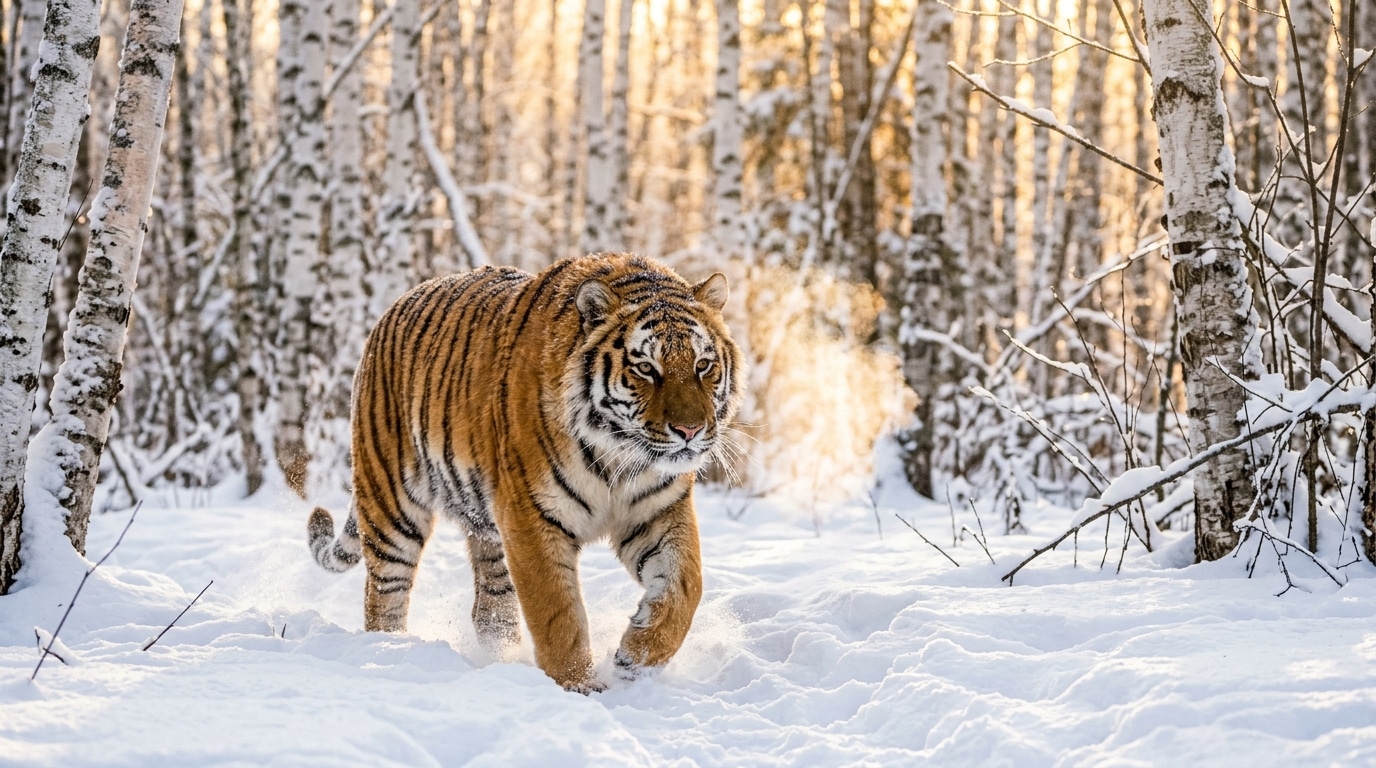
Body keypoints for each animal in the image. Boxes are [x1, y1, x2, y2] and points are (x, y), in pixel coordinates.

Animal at [307, 252, 744, 692]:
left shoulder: (659, 511)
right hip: (393, 507)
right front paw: (577, 685)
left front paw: (636, 657)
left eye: (703, 365)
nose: (689, 431)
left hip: (486, 528)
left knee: (491, 604)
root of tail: (393, 308)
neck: (618, 458)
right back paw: (389, 651)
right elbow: (557, 611)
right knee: (384, 595)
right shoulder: (531, 516)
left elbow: (685, 586)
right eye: (646, 368)